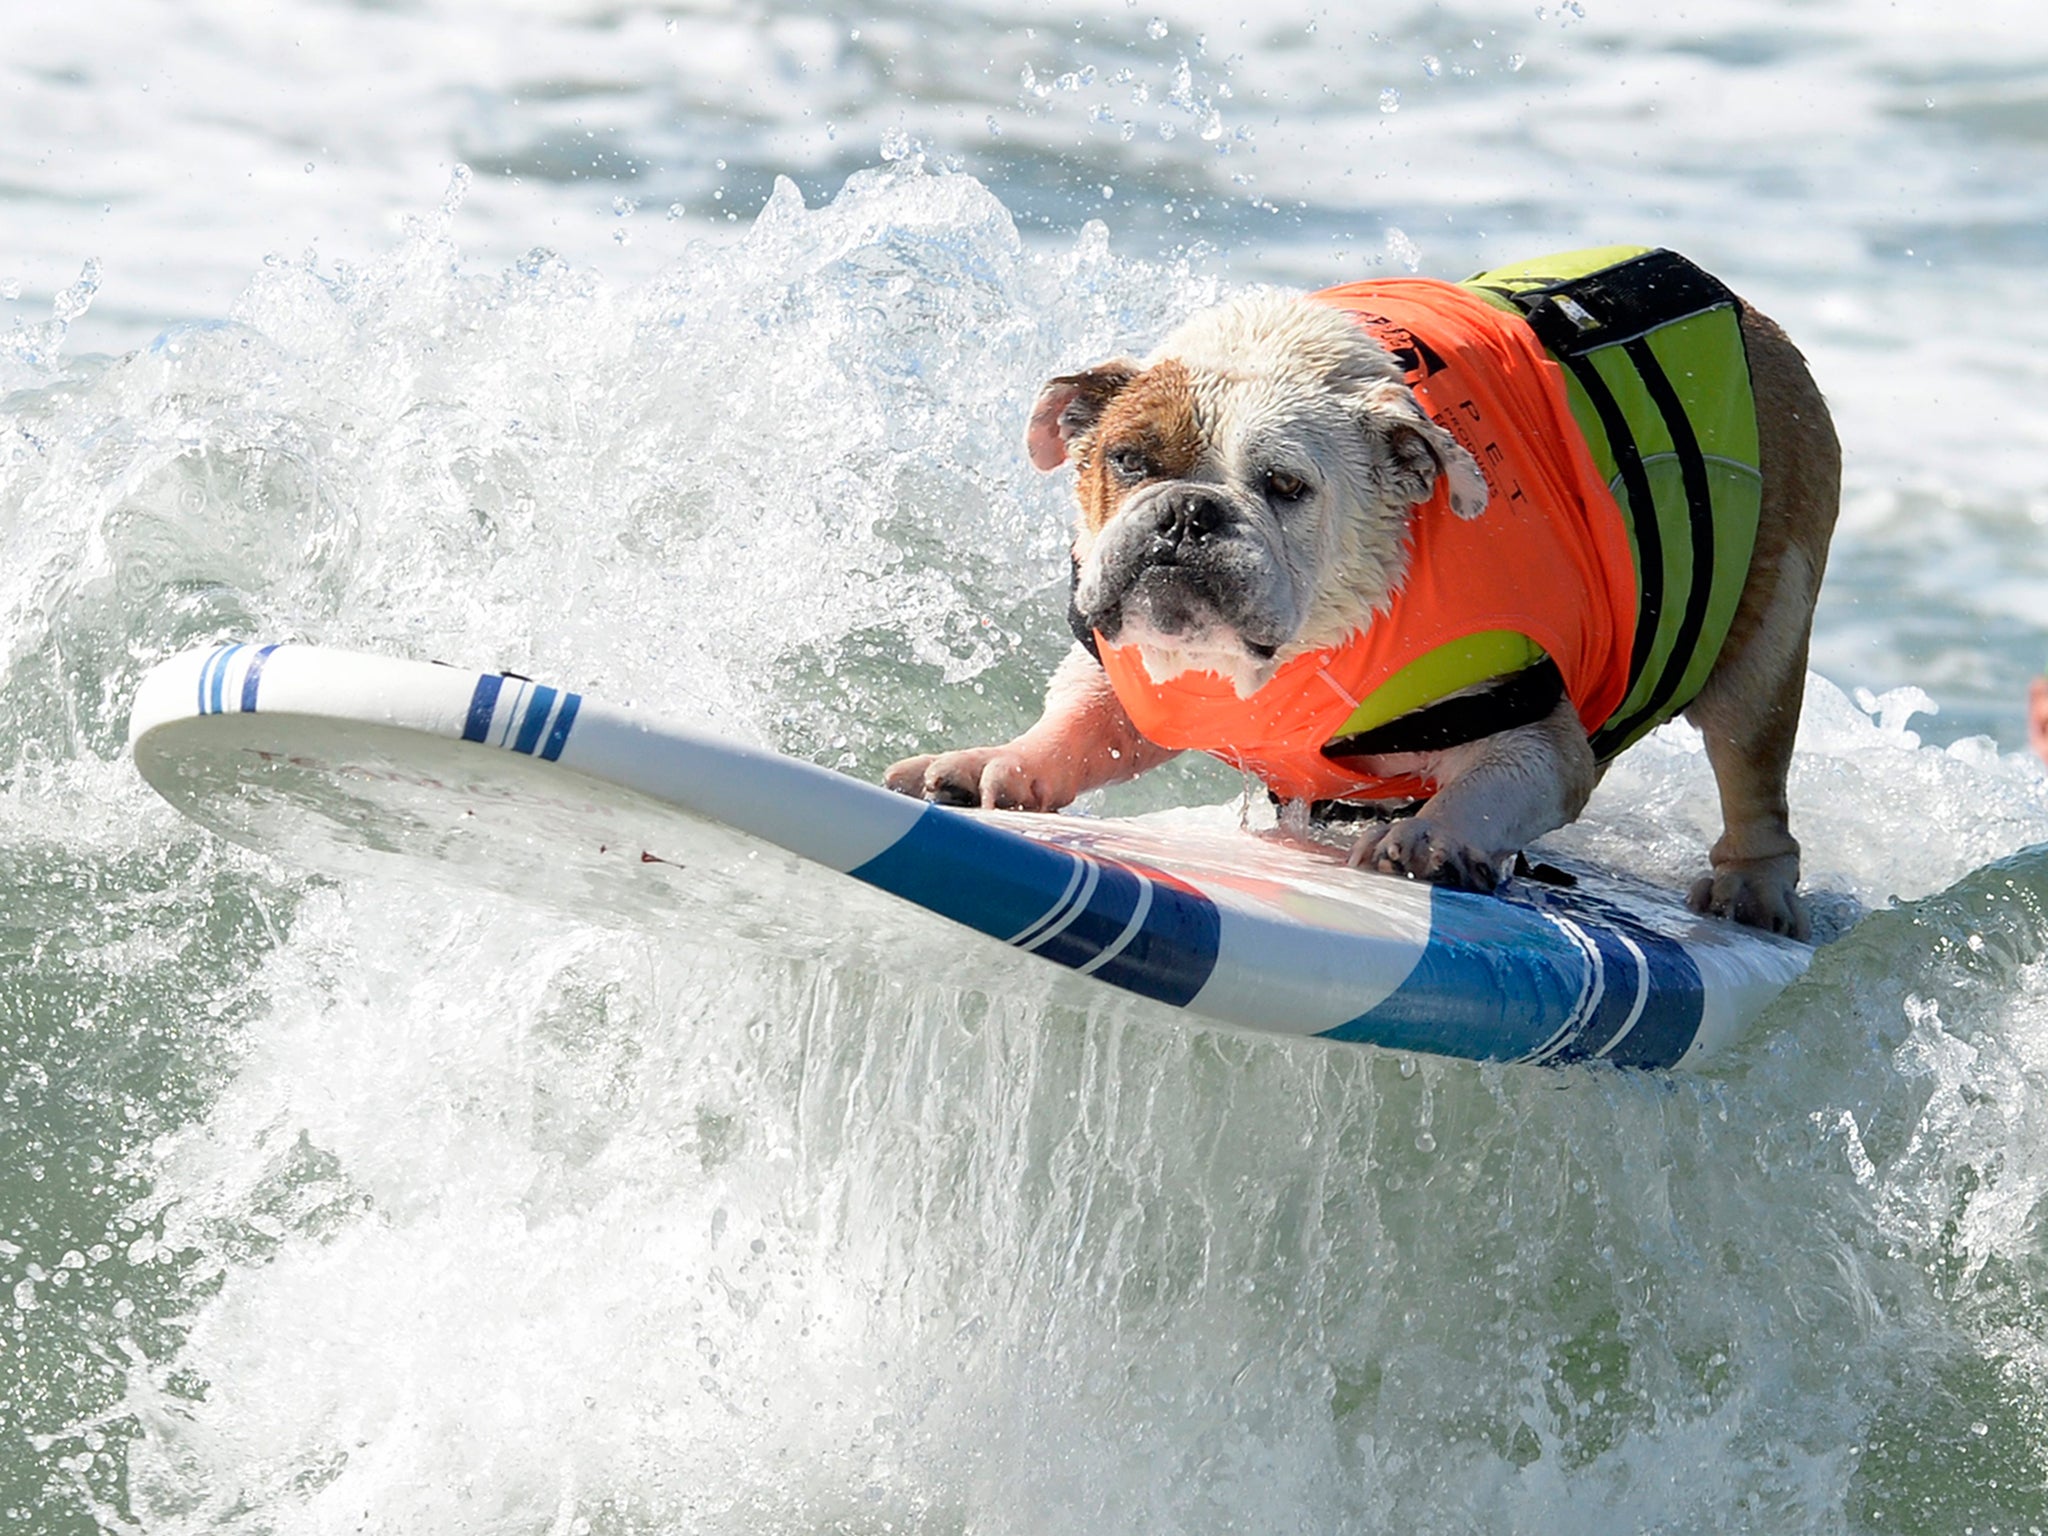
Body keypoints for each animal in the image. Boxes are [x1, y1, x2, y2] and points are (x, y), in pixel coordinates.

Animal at [880, 247, 1843, 946]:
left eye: (1284, 485)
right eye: (1127, 460)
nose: (1189, 513)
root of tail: (1753, 318)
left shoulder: (1530, 733)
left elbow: (1495, 782)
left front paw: (1430, 839)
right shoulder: (1130, 674)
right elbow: (1083, 722)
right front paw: (998, 765)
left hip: (1768, 630)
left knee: (1753, 770)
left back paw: (1752, 891)